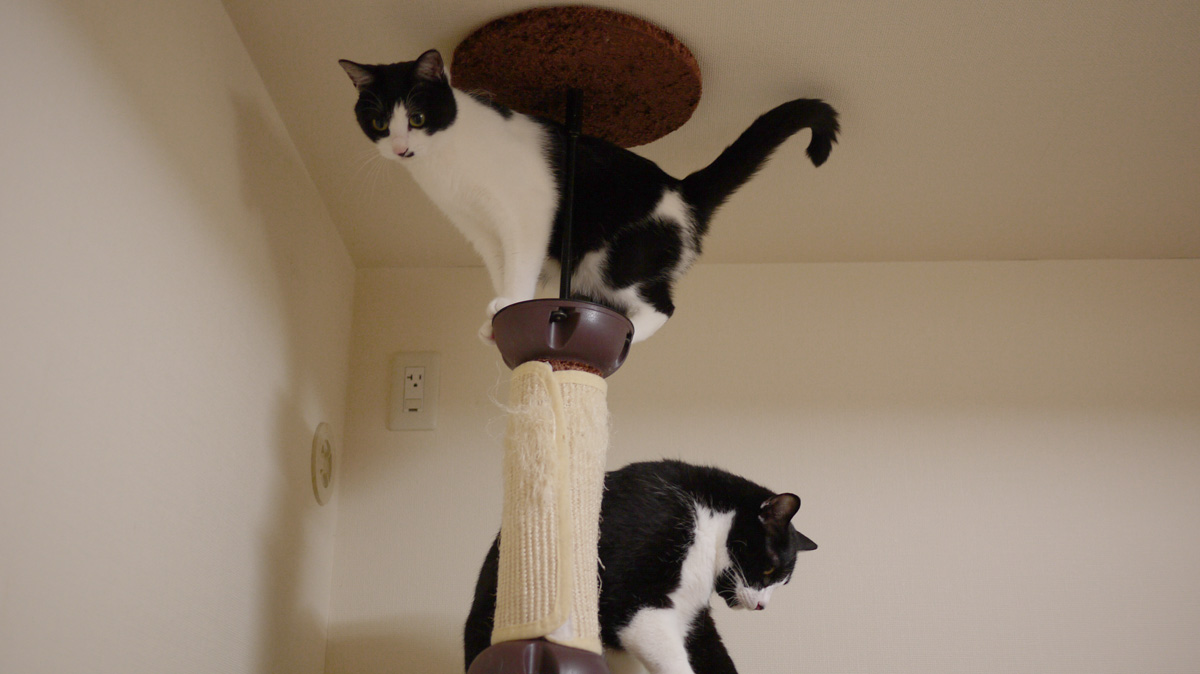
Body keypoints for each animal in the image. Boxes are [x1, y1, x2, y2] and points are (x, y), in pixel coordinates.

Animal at [339, 50, 839, 344]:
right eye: (379, 123)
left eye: (418, 117)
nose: (400, 148)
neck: (446, 163)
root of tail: (682, 187)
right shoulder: (478, 227)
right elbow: (502, 267)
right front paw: (501, 313)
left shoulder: (526, 210)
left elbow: (521, 261)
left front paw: (511, 303)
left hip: (617, 259)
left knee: (661, 306)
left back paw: (631, 335)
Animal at [463, 459, 818, 674]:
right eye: (770, 570)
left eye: (782, 583)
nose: (762, 606)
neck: (707, 518)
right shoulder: (639, 572)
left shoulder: (693, 616)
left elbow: (710, 650)